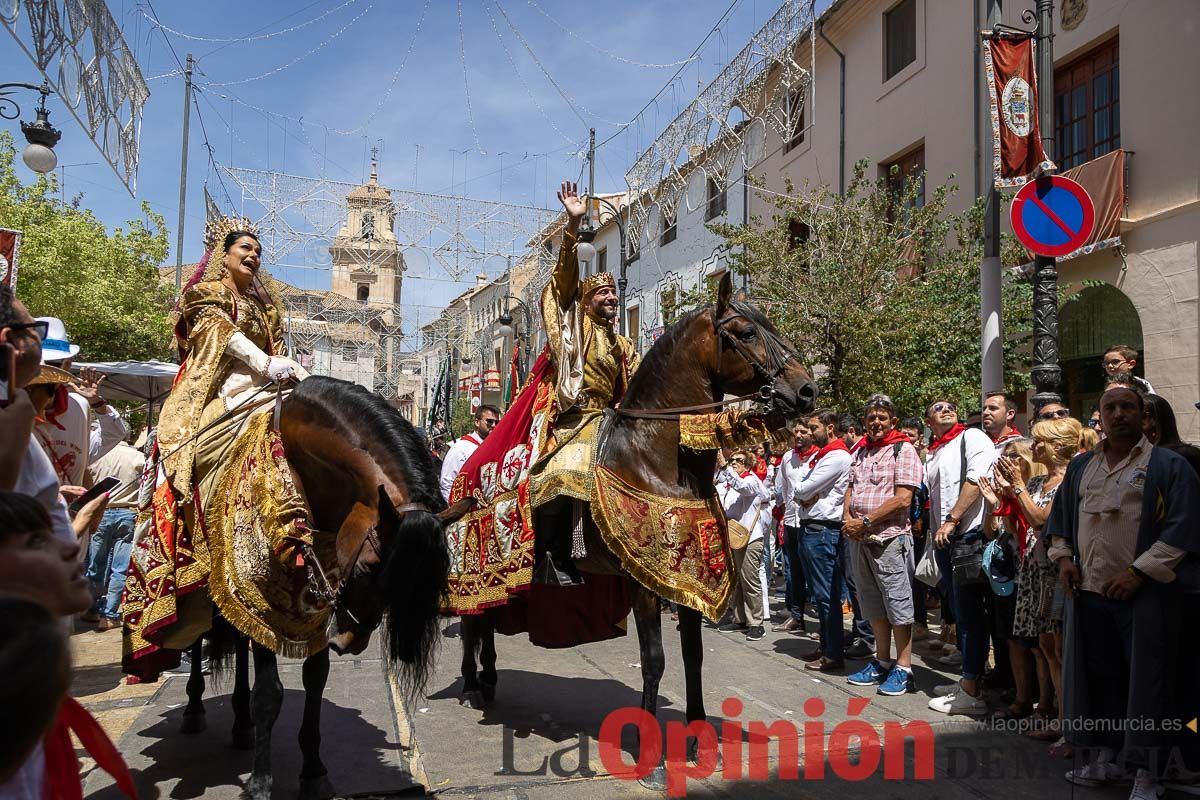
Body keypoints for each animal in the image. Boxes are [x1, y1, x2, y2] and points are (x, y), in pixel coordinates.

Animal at [175, 379, 465, 800]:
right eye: (371, 566)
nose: (348, 642)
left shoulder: (316, 605)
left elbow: (315, 679)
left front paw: (313, 770)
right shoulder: (262, 596)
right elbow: (270, 693)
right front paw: (260, 783)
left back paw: (241, 723)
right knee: (200, 640)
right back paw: (195, 708)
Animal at [458, 273, 816, 786]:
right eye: (747, 333)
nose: (806, 390)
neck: (657, 457)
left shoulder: (685, 580)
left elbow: (693, 657)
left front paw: (697, 743)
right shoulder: (643, 584)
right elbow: (654, 660)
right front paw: (652, 758)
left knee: (487, 616)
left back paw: (485, 675)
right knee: (475, 616)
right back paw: (475, 678)